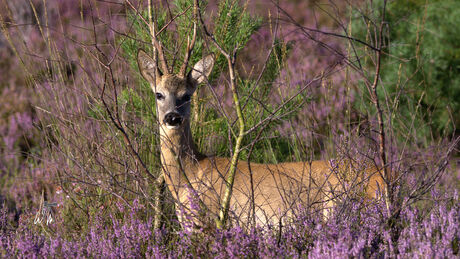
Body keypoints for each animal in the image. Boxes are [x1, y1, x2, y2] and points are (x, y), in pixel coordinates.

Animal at [137, 34, 384, 230]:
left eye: (187, 95)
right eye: (159, 94)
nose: (172, 118)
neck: (190, 175)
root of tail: (382, 178)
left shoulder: (209, 222)